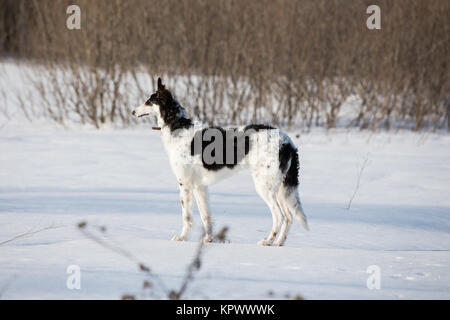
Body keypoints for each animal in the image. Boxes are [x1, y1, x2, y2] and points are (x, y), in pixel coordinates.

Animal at [130, 77, 306, 245]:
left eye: (149, 101)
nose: (132, 112)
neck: (178, 126)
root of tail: (288, 143)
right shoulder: (199, 186)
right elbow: (205, 216)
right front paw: (208, 239)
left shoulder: (184, 184)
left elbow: (187, 217)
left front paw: (182, 238)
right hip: (281, 189)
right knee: (288, 217)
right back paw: (278, 243)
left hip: (265, 187)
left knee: (279, 217)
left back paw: (268, 241)